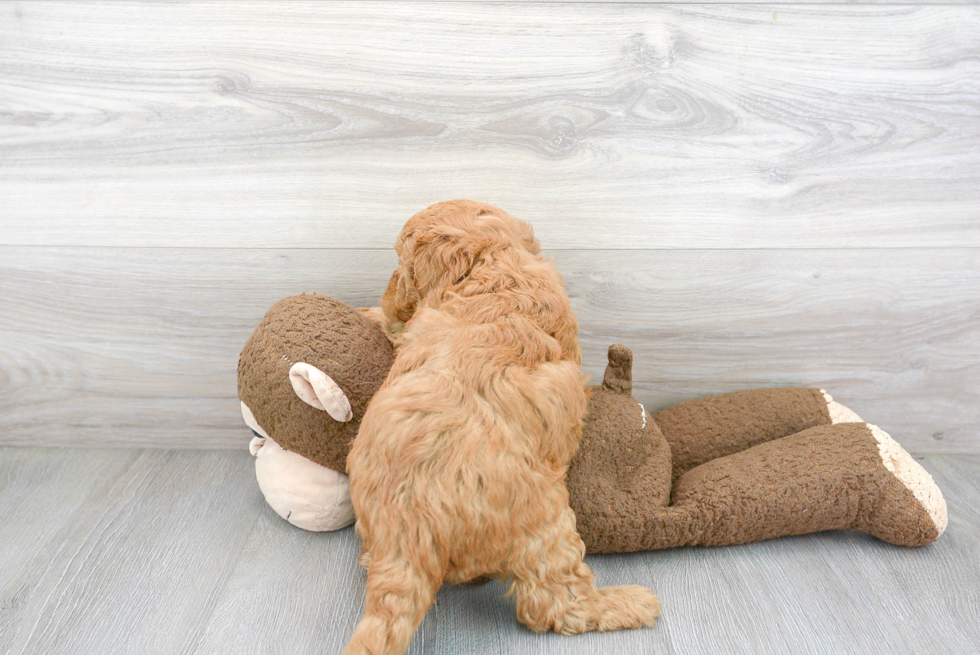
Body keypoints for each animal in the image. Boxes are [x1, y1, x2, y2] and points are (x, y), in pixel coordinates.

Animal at [344, 201, 660, 655]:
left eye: (400, 266)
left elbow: (398, 329)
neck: (493, 262)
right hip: (546, 522)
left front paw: (368, 312)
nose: (387, 295)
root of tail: (408, 529)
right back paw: (631, 602)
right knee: (555, 605)